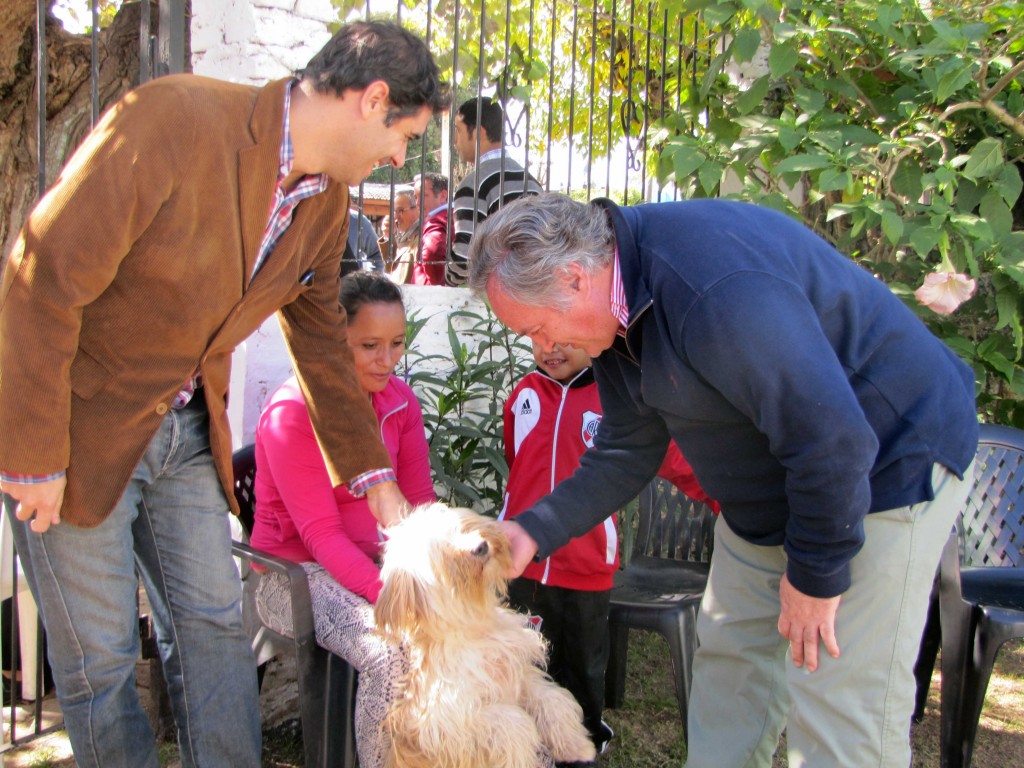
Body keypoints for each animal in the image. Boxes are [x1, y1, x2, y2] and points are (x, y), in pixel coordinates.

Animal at [378, 505, 598, 768]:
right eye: (442, 554)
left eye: (460, 527)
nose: (480, 546)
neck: (476, 629)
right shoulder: (446, 722)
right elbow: (515, 723)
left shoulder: (519, 675)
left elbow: (552, 699)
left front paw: (576, 747)